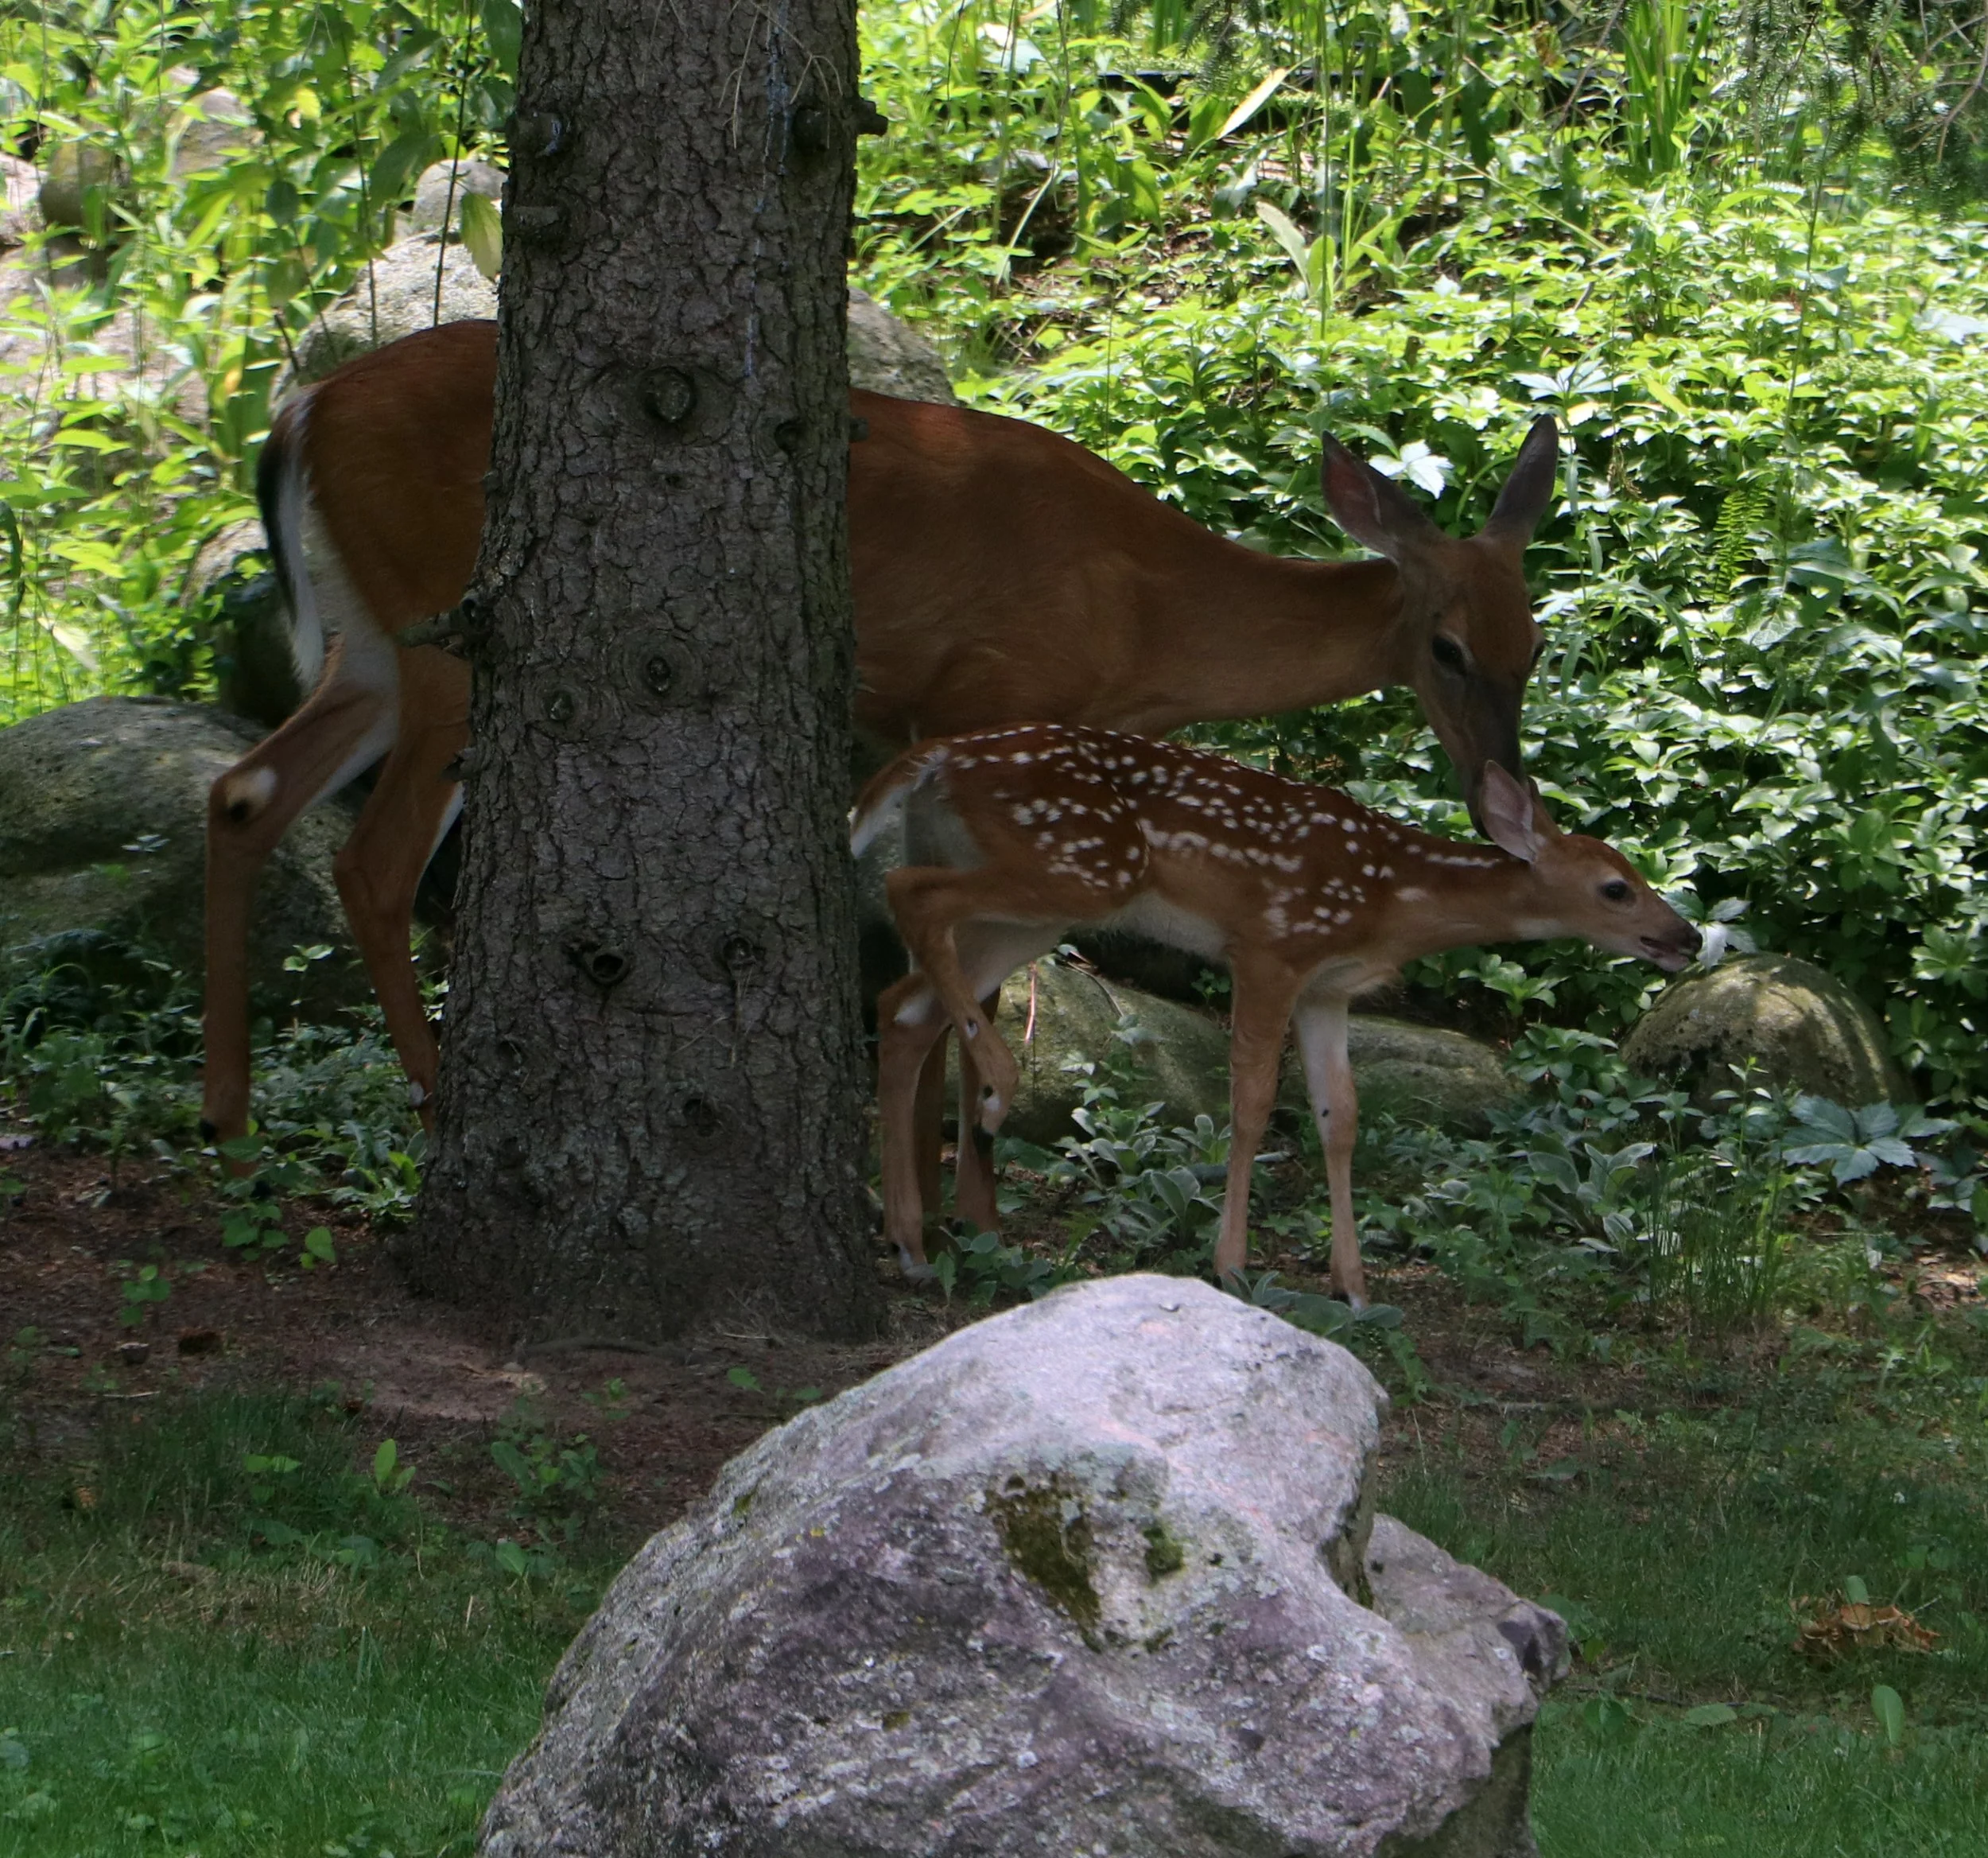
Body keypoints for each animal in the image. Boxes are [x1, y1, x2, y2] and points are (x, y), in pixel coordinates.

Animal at [202, 315, 1562, 1176]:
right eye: (1448, 648)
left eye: (1536, 642)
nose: (1502, 786)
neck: (1151, 617)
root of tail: (301, 410)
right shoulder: (976, 701)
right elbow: (953, 961)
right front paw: (945, 1182)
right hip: (453, 633)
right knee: (370, 858)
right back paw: (434, 1103)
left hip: (373, 640)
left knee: (244, 789)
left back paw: (229, 1114)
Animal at [851, 723, 1700, 1305]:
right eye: (1616, 888)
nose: (1687, 938)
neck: (1391, 900)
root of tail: (936, 758)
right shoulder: (1270, 947)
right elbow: (1254, 1101)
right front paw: (1232, 1264)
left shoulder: (1327, 988)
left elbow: (1340, 1116)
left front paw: (1352, 1284)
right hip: (1077, 872)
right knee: (907, 895)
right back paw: (994, 1085)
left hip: (1038, 908)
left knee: (904, 1007)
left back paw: (908, 1241)